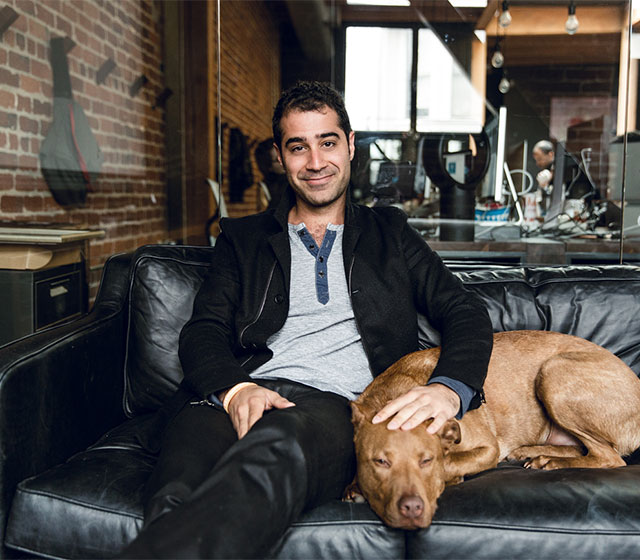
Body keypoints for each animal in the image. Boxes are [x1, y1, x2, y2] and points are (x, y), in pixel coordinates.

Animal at [346, 330, 640, 530]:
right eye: (379, 462)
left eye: (426, 461)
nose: (411, 508)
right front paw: (355, 486)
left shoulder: (488, 448)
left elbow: (449, 462)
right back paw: (532, 453)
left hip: (554, 372)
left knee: (609, 456)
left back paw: (549, 461)